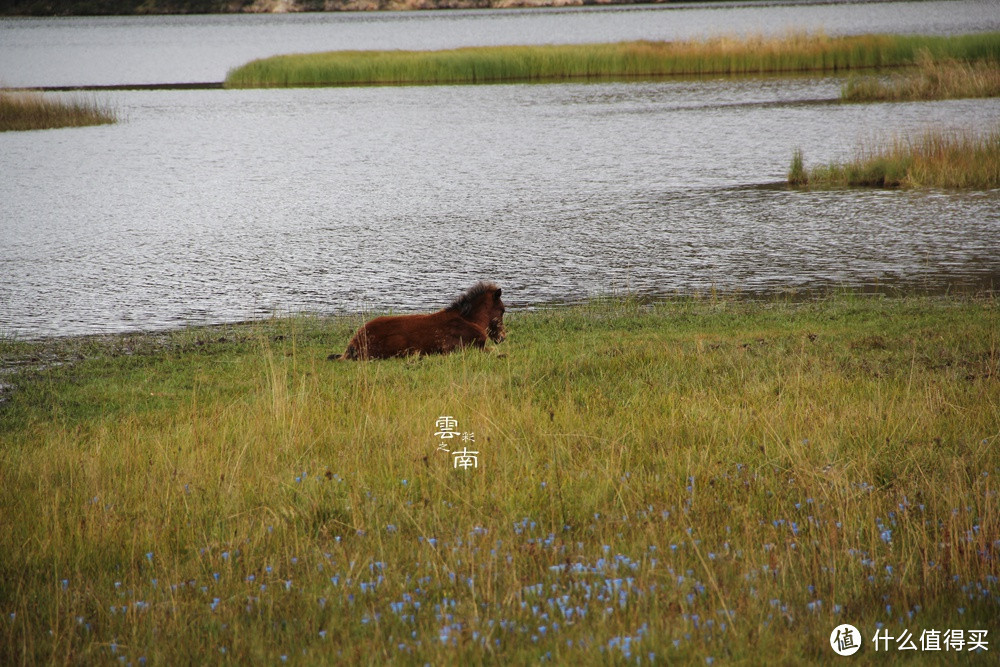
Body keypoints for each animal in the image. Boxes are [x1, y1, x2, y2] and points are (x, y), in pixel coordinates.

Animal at [336, 284, 508, 362]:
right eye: (502, 310)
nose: (502, 337)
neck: (469, 320)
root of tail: (354, 343)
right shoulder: (464, 347)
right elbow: (495, 351)